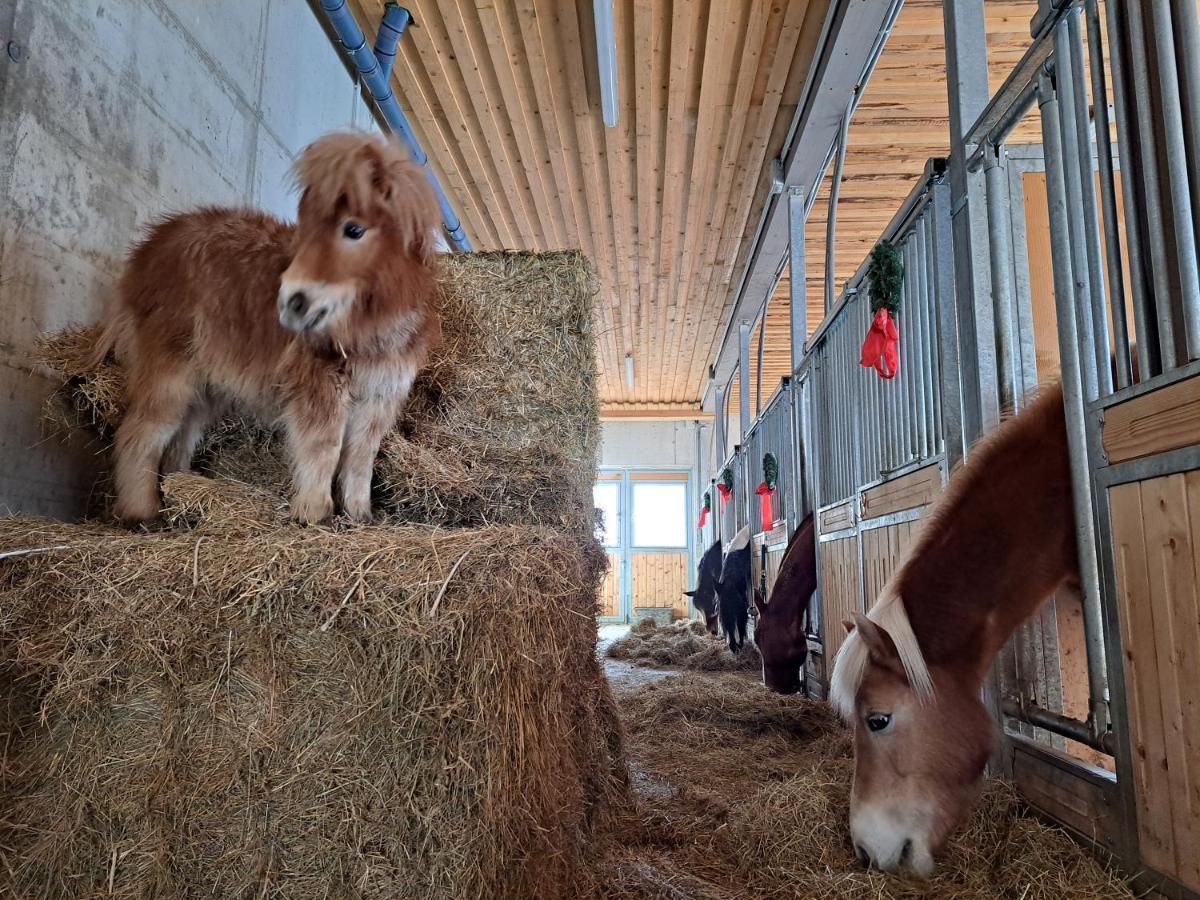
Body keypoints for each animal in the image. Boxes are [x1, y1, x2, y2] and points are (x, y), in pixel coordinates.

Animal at [96, 135, 439, 528]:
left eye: (354, 229)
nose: (291, 301)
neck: (372, 329)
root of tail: (148, 250)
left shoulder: (379, 398)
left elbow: (360, 459)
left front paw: (359, 516)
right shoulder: (322, 388)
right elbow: (324, 448)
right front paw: (315, 515)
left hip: (206, 386)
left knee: (179, 440)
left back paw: (179, 495)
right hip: (170, 369)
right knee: (141, 434)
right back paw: (143, 514)